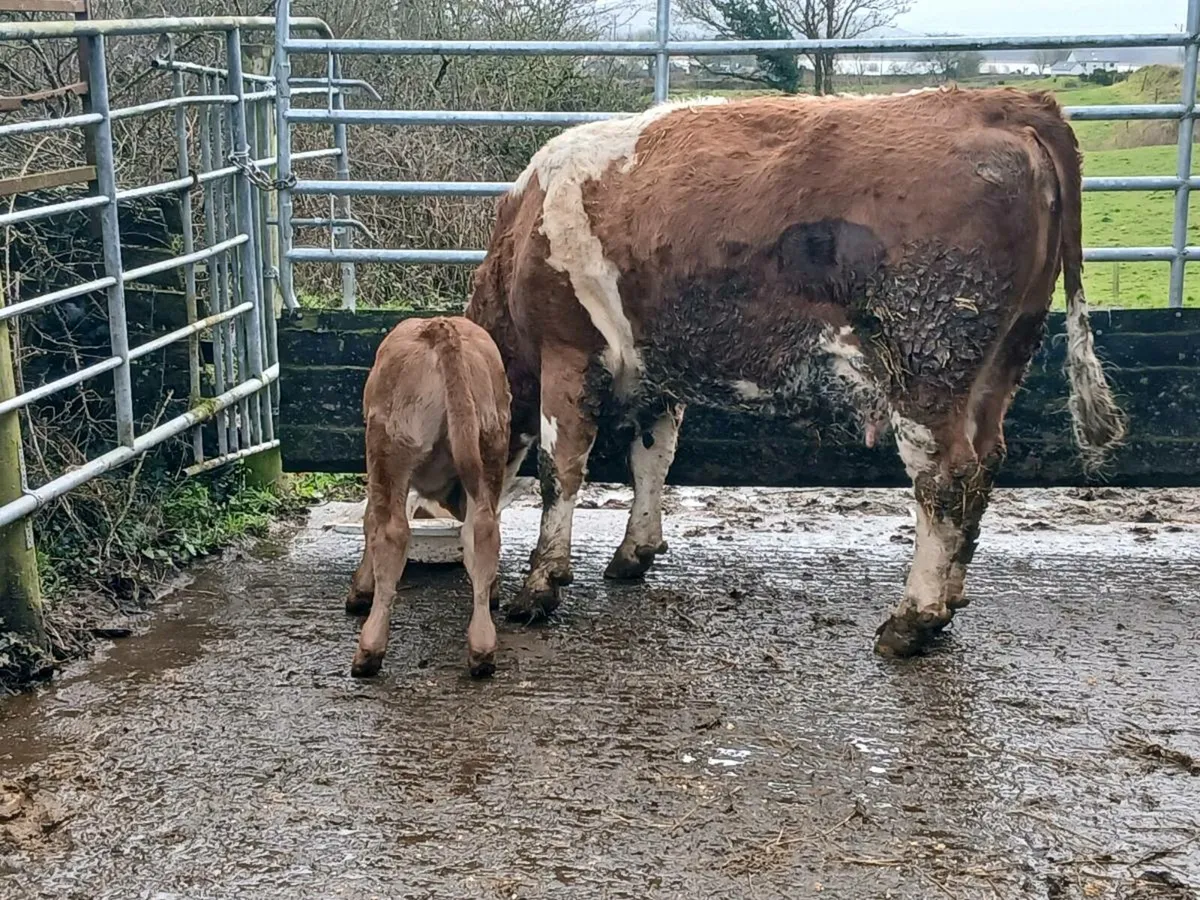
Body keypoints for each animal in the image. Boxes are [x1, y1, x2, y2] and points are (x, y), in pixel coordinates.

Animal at [347, 316, 512, 679]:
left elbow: (370, 521)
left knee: (392, 533)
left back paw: (369, 650)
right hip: (489, 449)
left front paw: (360, 591)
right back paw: (482, 649)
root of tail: (440, 326)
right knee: (483, 531)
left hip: (389, 447)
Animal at [465, 86, 1127, 658]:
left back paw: (913, 619)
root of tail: (1003, 102)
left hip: (926, 365)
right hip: (1002, 359)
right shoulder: (658, 376)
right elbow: (652, 460)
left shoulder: (567, 352)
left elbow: (561, 470)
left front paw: (539, 586)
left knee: (945, 481)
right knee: (985, 467)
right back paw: (951, 598)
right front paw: (635, 553)